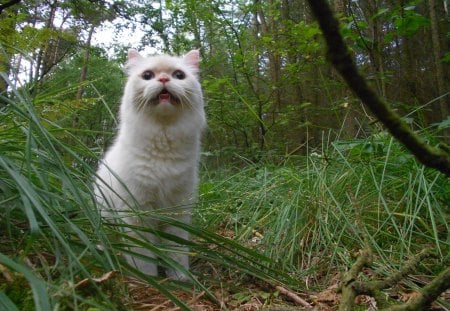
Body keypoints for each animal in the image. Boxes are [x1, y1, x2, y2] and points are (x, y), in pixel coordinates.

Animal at [95, 49, 207, 280]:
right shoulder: (138, 211)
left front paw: (180, 278)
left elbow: (177, 252)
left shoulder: (178, 210)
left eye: (179, 75)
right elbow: (142, 255)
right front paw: (147, 279)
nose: (163, 79)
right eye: (147, 75)